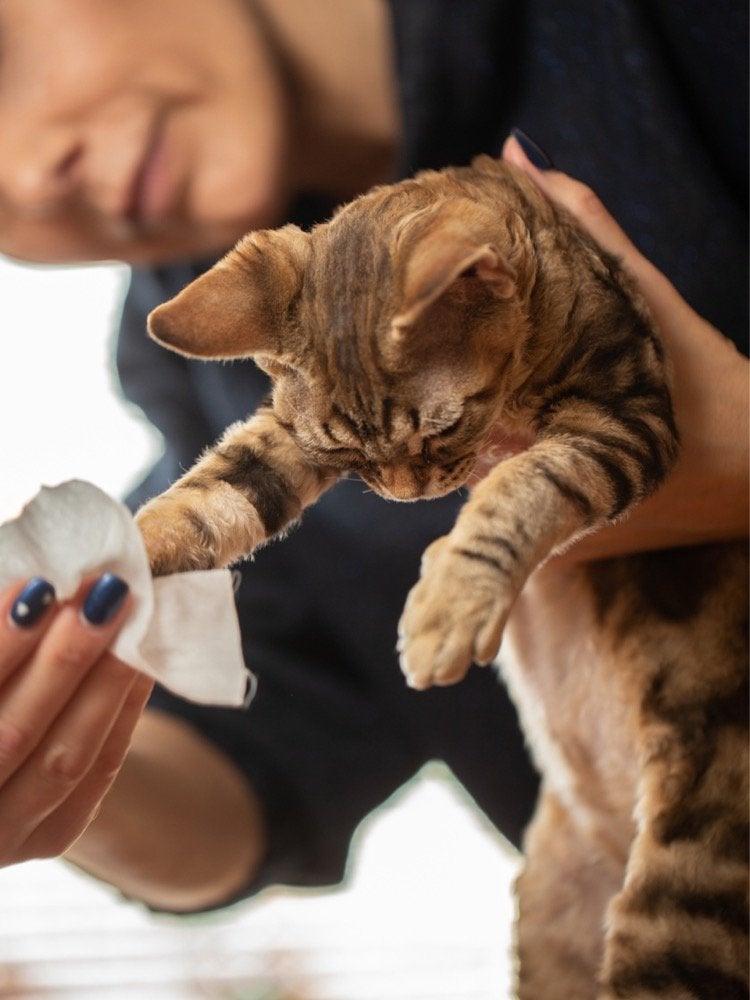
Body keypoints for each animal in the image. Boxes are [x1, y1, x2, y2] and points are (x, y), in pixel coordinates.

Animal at [134, 156, 748, 1000]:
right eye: (350, 454)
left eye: (441, 428)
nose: (402, 491)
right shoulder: (287, 435)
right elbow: (211, 495)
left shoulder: (627, 416)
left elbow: (525, 484)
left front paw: (451, 601)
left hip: (685, 898)